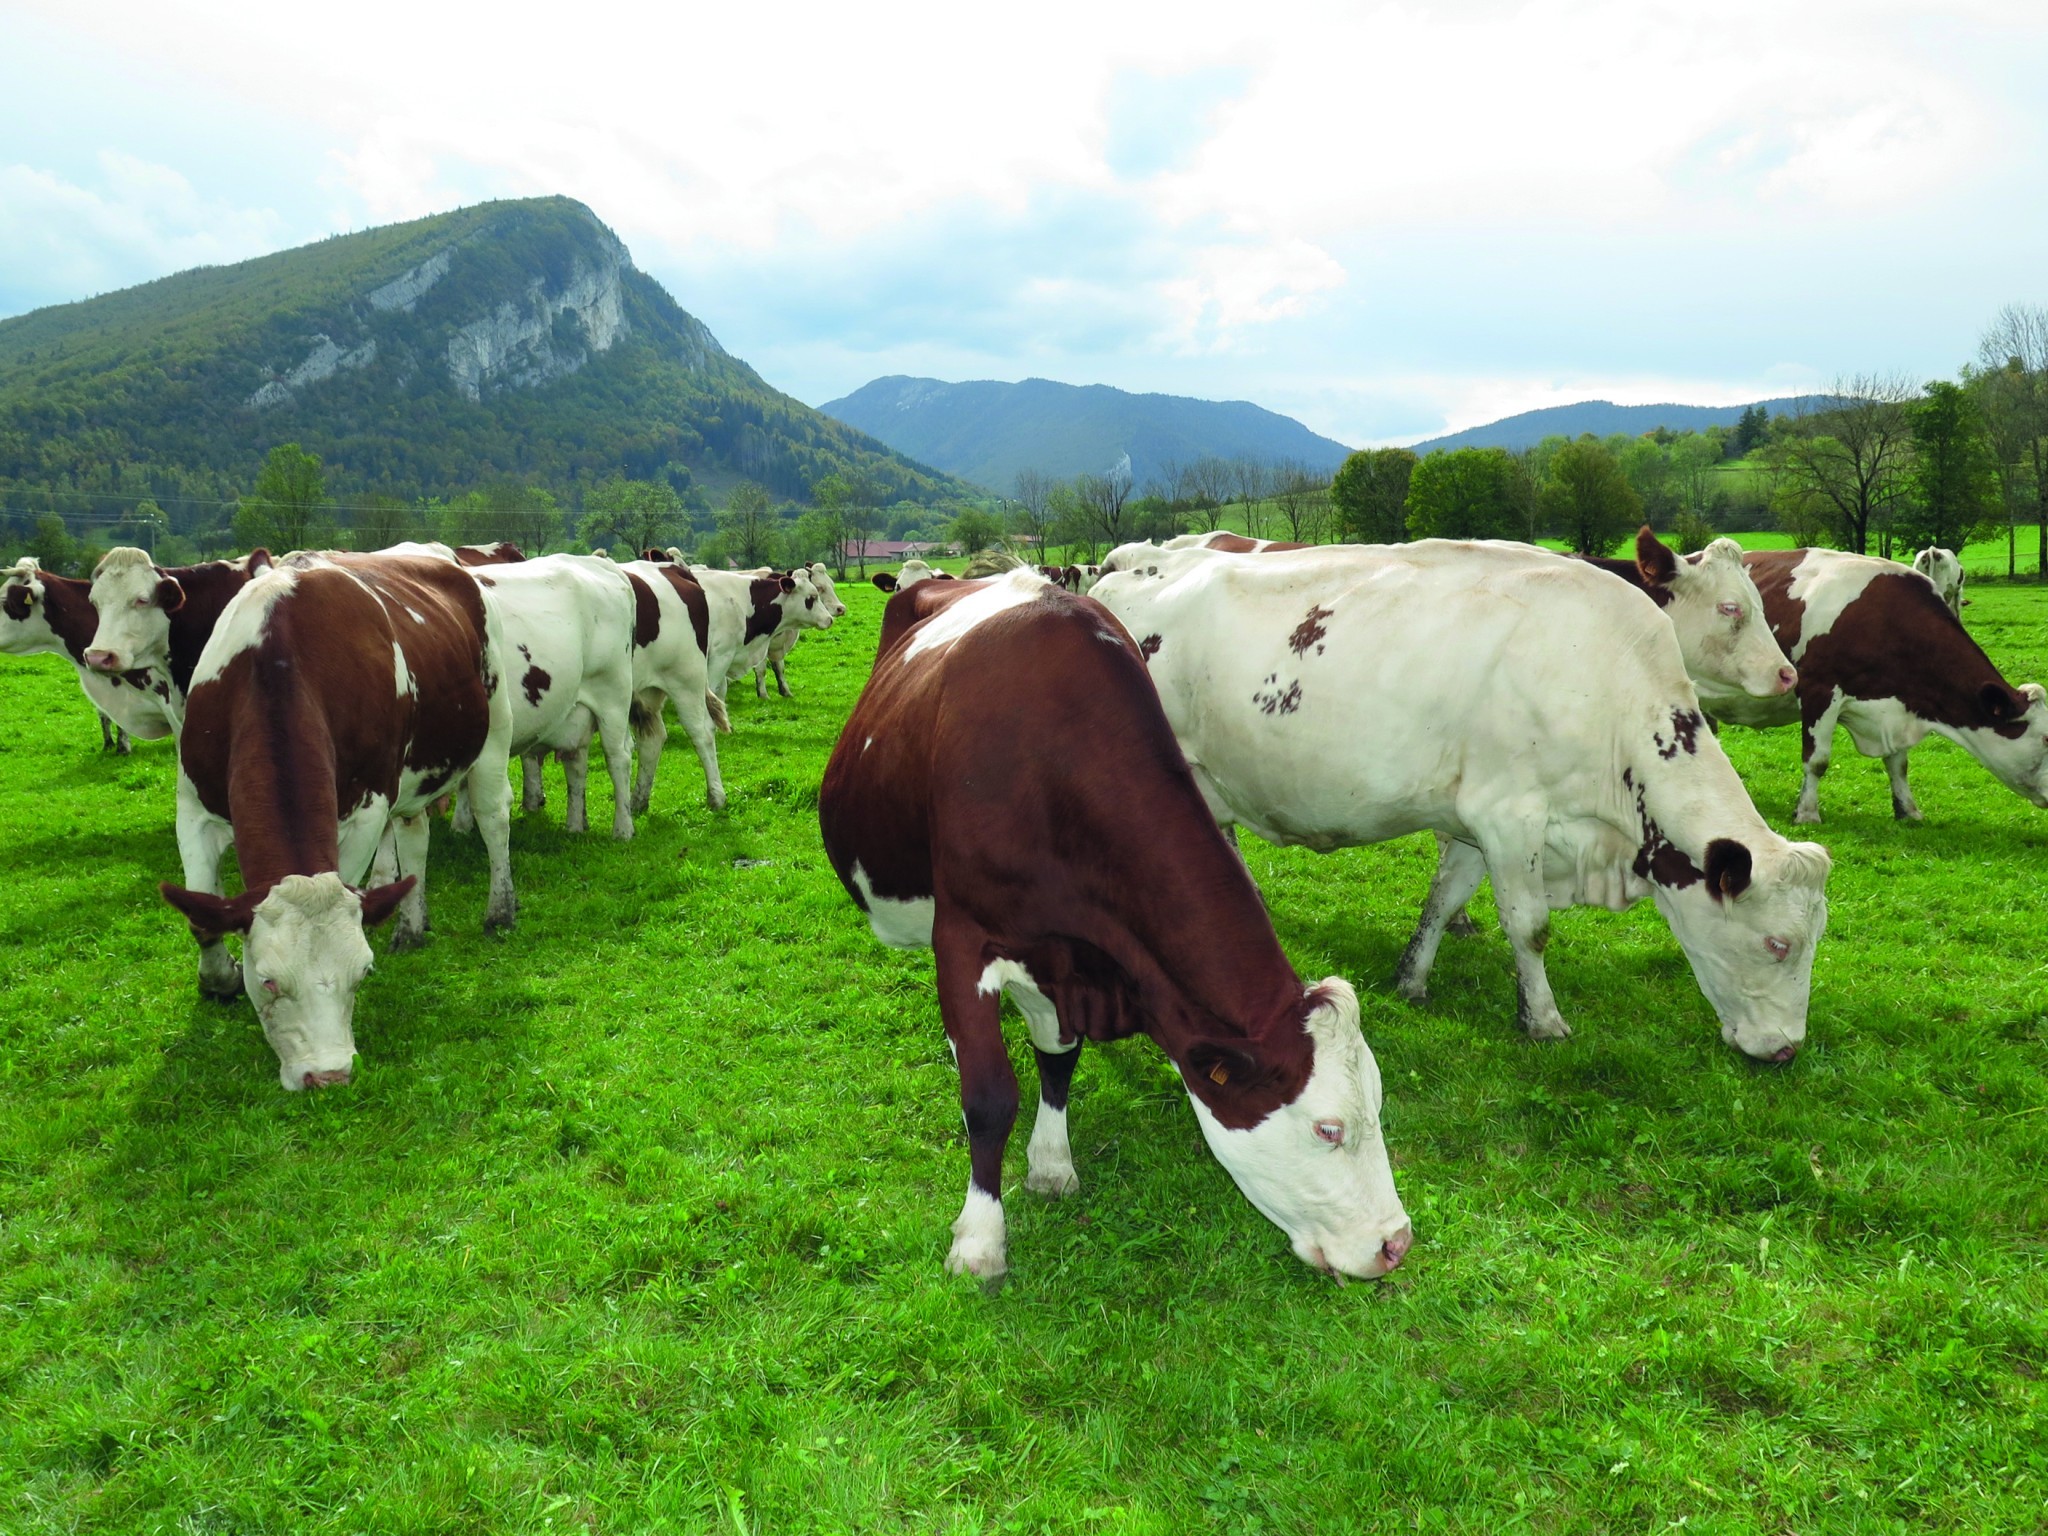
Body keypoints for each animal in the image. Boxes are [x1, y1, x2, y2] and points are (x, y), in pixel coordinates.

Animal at [160, 552, 520, 1097]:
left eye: (363, 973)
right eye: (267, 979)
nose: (328, 1075)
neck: (275, 663)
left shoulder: (366, 809)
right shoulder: (193, 807)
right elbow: (202, 914)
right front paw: (217, 981)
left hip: (493, 730)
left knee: (494, 817)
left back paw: (499, 911)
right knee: (415, 837)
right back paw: (411, 926)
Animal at [815, 573, 1409, 1277]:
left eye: (1377, 1103)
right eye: (1328, 1128)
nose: (1396, 1243)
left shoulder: (1066, 954)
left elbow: (1057, 1055)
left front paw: (1050, 1164)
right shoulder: (965, 936)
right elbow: (987, 1096)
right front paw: (979, 1239)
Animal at [1097, 540, 1835, 1056]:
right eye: (1778, 943)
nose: (1785, 1050)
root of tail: (1135, 565)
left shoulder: (1474, 820)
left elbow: (1445, 898)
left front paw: (1412, 978)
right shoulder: (1510, 817)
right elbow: (1530, 927)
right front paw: (1543, 1020)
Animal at [1712, 548, 2048, 823]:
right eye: (2046, 739)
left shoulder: (1896, 706)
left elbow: (1899, 764)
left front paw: (1908, 810)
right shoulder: (1819, 690)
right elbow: (1817, 760)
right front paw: (1806, 813)